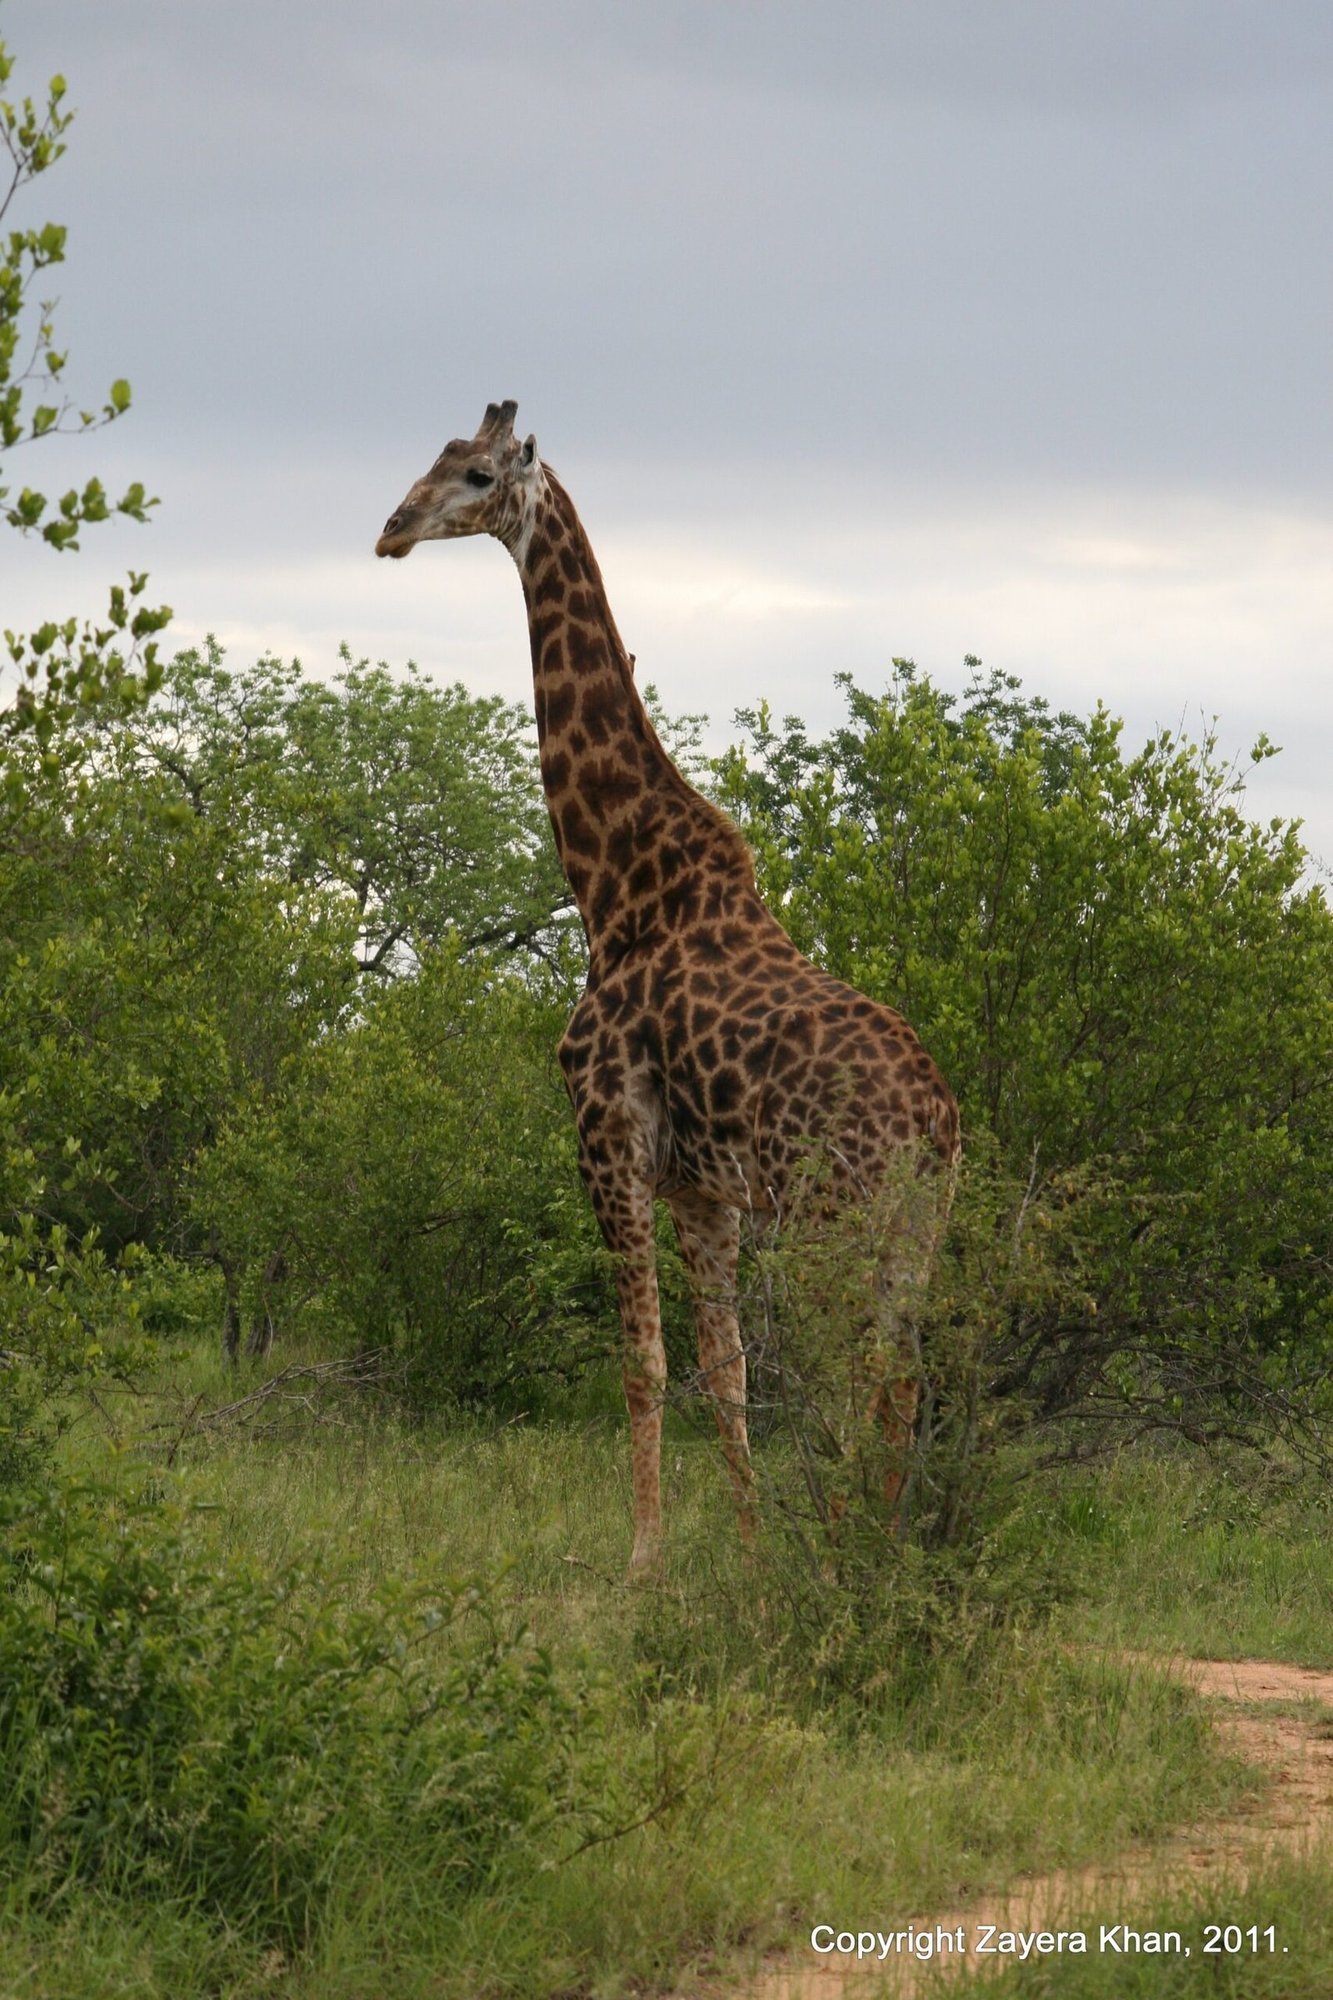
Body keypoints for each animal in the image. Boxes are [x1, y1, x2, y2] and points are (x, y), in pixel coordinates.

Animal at [376, 401, 960, 1573]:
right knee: (901, 1378)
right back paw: (875, 1550)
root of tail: (935, 1118)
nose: (391, 528)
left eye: (475, 475)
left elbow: (642, 1364)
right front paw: (742, 1550)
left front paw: (642, 1558)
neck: (616, 886)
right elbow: (724, 1374)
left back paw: (850, 1552)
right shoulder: (702, 1185)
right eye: (430, 458)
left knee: (861, 1374)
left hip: (837, 1215)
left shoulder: (606, 1136)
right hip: (914, 1226)